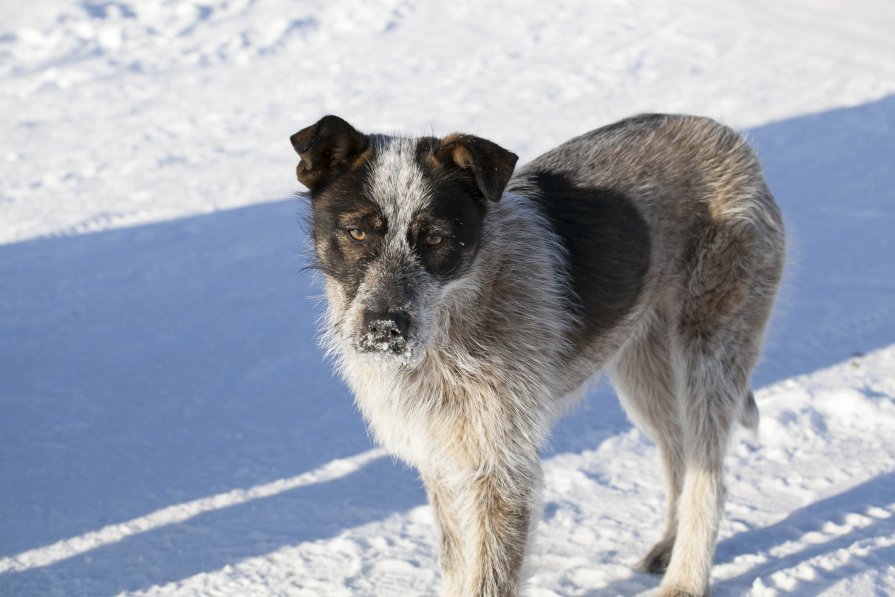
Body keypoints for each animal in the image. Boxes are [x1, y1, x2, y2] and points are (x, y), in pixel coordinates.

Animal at [292, 113, 784, 596]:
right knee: (678, 456)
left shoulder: (503, 471)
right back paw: (667, 548)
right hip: (646, 373)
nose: (384, 328)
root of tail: (730, 139)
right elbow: (456, 564)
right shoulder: (443, 461)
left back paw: (684, 581)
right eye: (357, 231)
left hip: (708, 355)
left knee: (709, 481)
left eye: (434, 239)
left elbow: (488, 579)